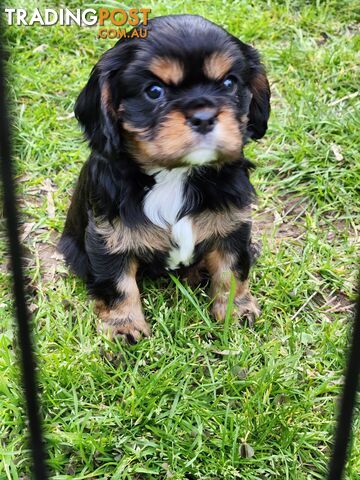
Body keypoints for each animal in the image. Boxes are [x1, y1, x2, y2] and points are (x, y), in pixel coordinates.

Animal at [58, 14, 270, 342]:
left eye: (229, 83)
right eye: (154, 91)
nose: (204, 117)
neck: (175, 174)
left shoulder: (233, 226)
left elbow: (232, 271)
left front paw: (236, 311)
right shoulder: (107, 237)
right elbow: (117, 284)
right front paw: (124, 327)